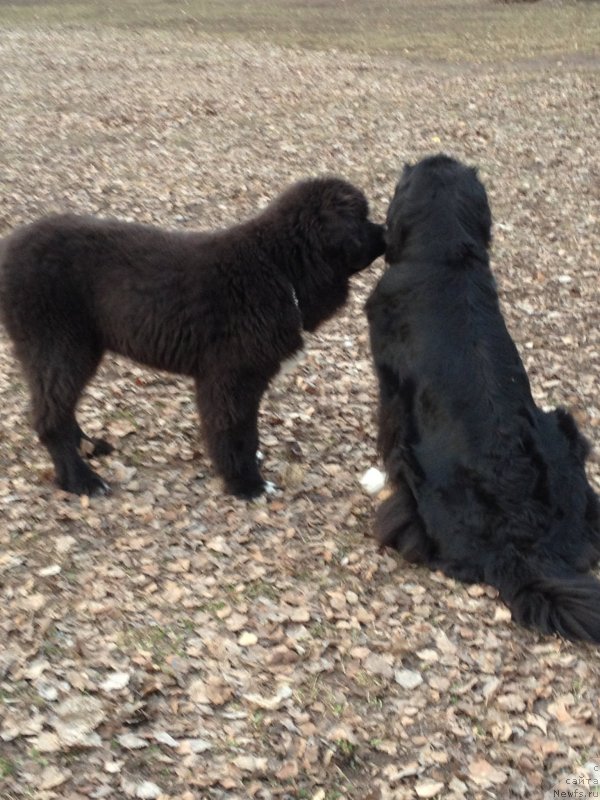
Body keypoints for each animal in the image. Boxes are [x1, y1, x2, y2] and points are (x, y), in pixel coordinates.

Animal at [0, 178, 384, 496]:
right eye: (363, 218)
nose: (386, 232)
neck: (278, 266)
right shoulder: (231, 377)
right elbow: (234, 430)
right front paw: (246, 484)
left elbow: (245, 430)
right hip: (60, 347)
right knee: (51, 416)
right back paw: (81, 480)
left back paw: (88, 447)